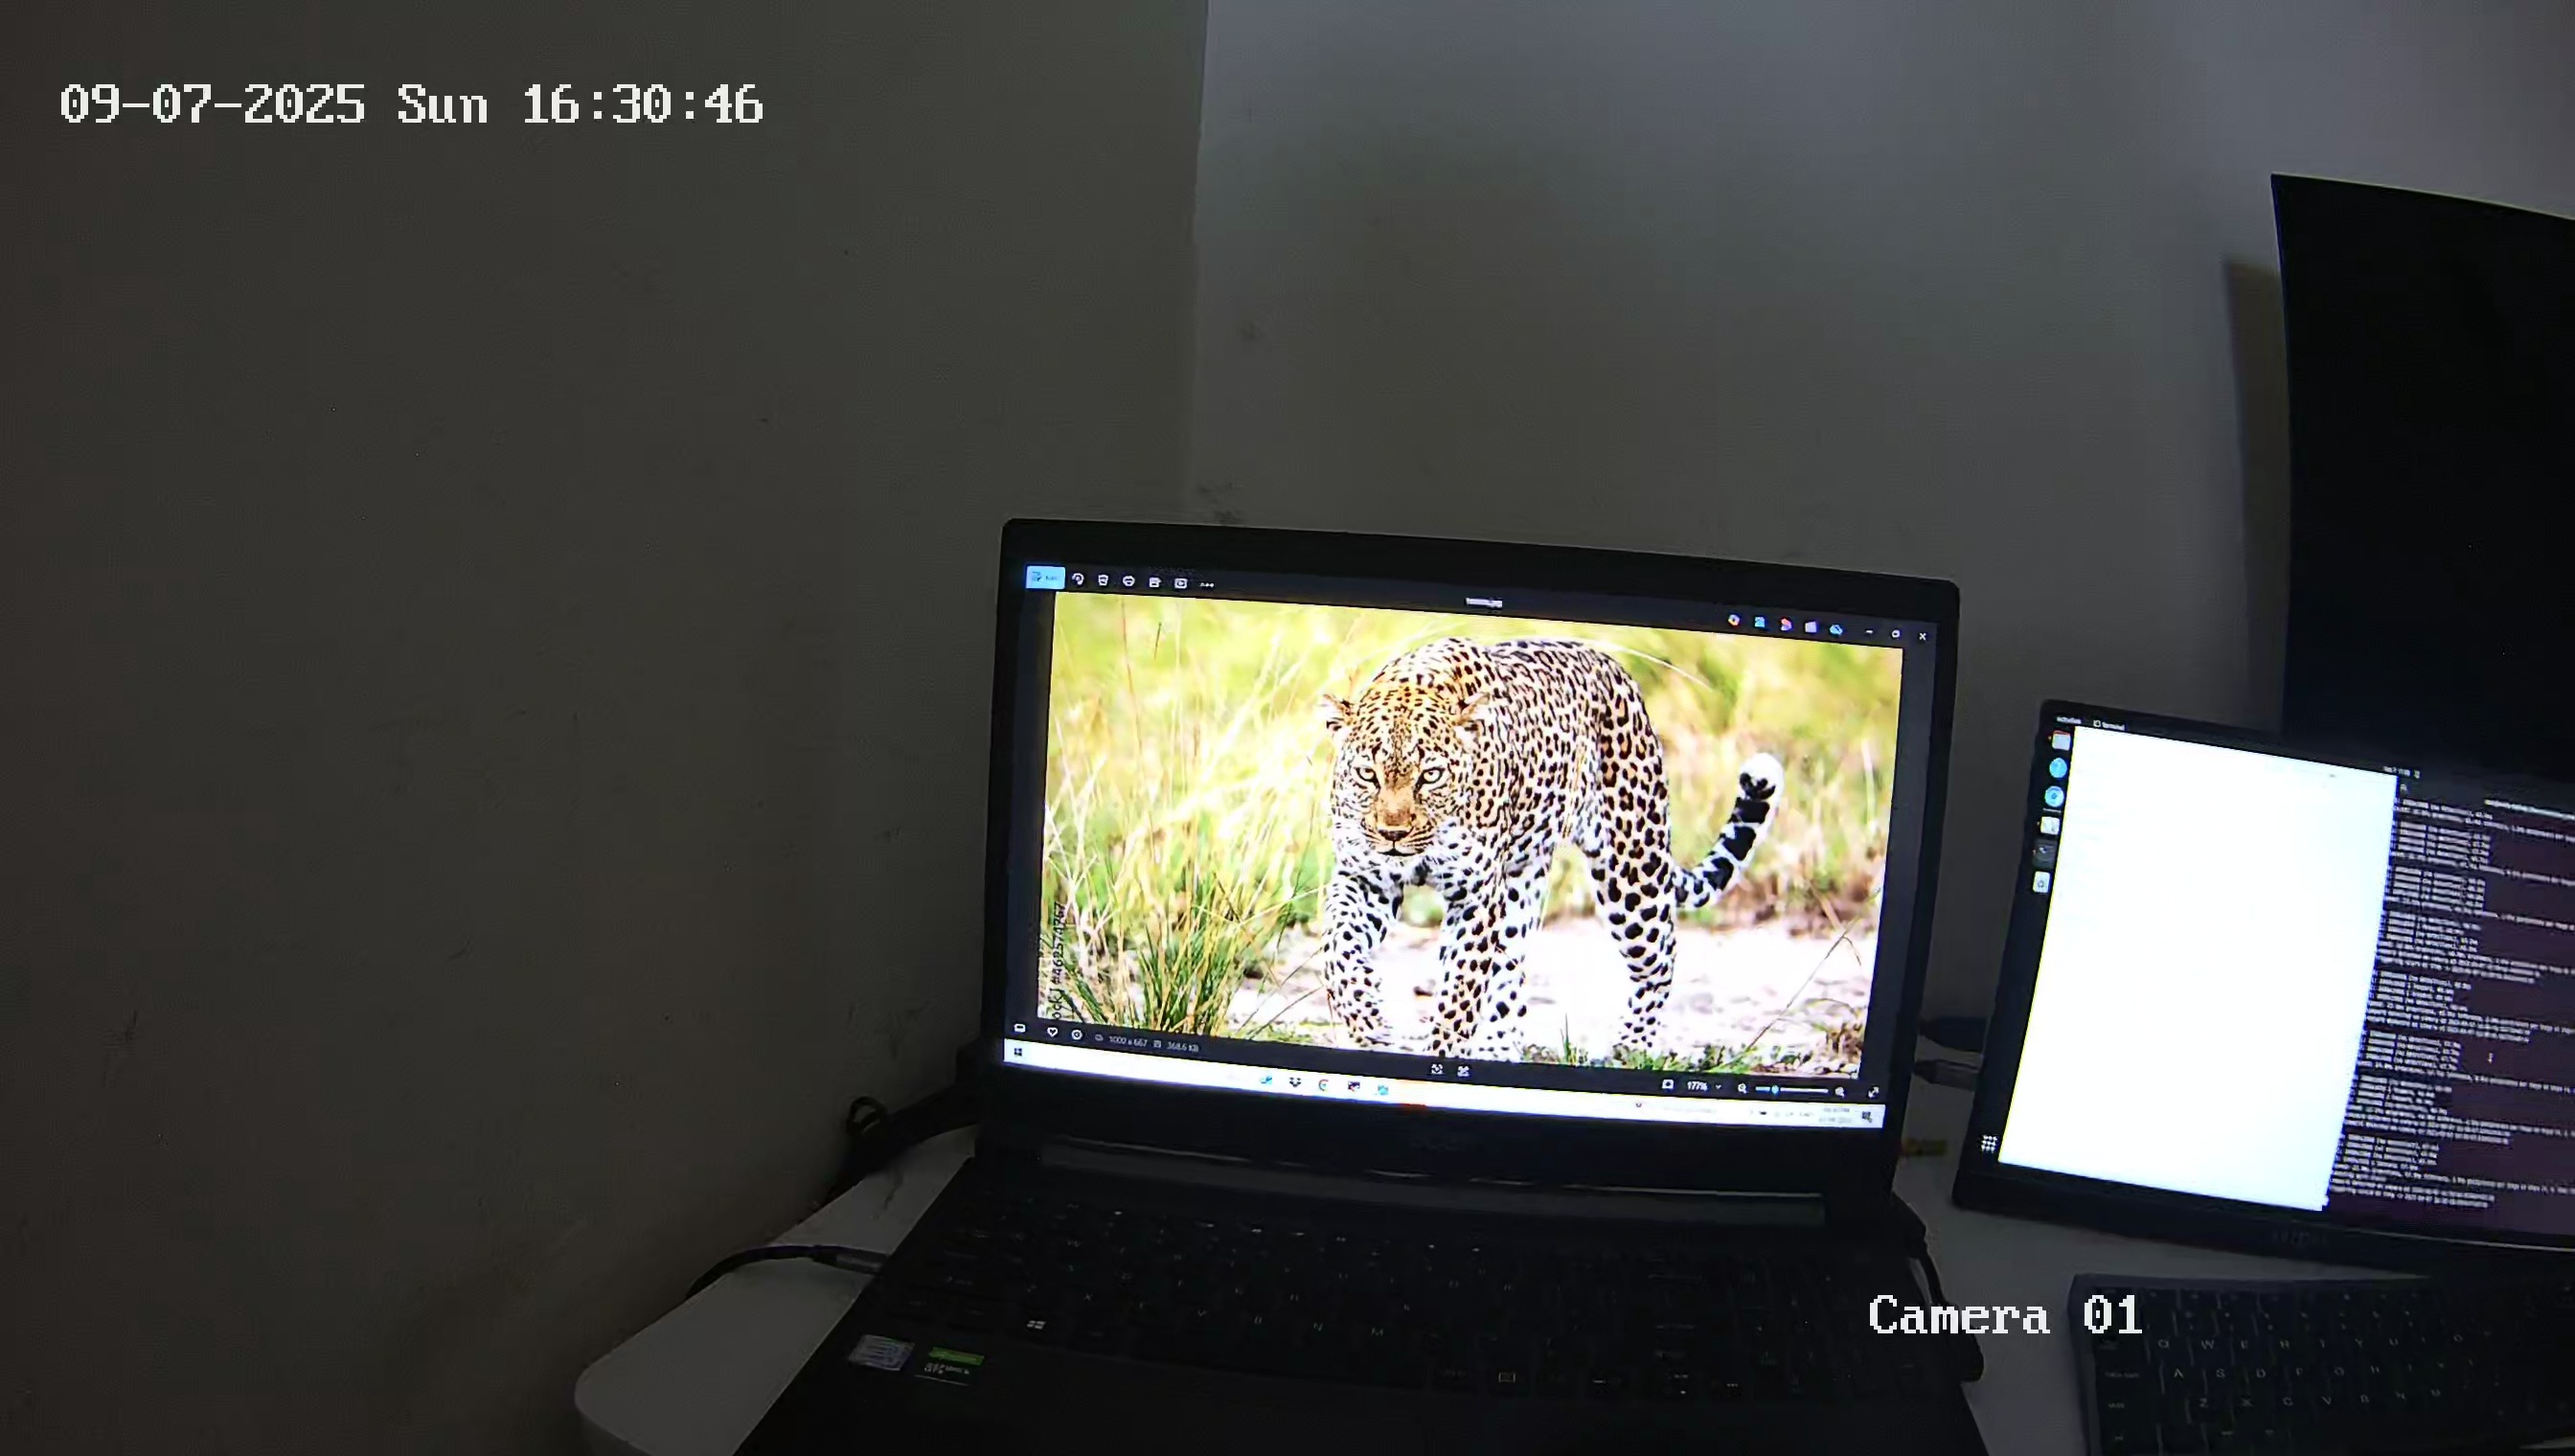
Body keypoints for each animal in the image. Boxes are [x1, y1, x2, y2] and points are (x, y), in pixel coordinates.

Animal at [1316, 636, 1783, 1063]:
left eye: (1430, 776)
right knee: (1510, 972)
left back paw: (1630, 1047)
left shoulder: (1476, 895)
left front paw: (1441, 1052)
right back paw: (1498, 1048)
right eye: (1367, 774)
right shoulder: (1365, 880)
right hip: (1524, 882)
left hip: (1631, 873)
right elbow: (1338, 949)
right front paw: (1369, 1023)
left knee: (1660, 959)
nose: (1392, 833)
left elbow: (1460, 994)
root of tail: (1613, 668)